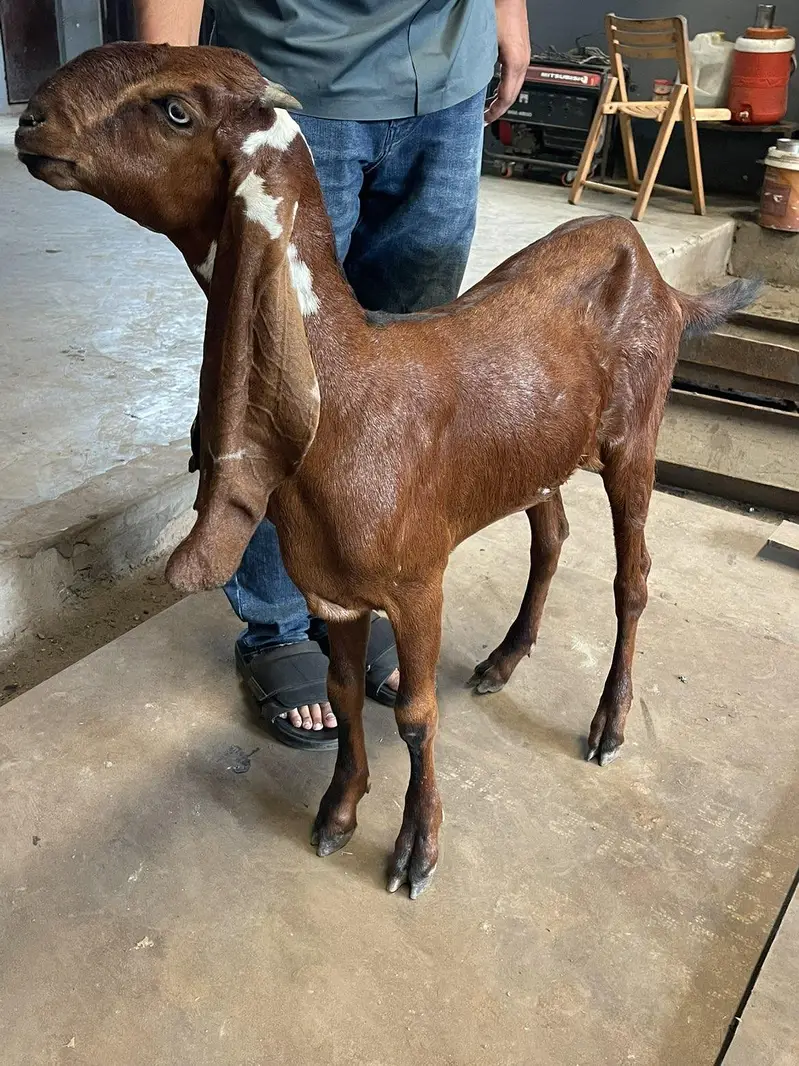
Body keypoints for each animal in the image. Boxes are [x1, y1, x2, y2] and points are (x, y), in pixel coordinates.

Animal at [16, 44, 758, 898]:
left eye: (175, 110)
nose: (30, 121)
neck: (349, 394)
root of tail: (654, 272)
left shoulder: (417, 583)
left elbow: (414, 713)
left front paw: (416, 848)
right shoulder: (329, 591)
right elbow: (342, 694)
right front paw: (338, 812)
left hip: (633, 439)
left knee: (631, 578)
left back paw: (608, 724)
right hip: (539, 456)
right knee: (550, 533)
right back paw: (503, 660)